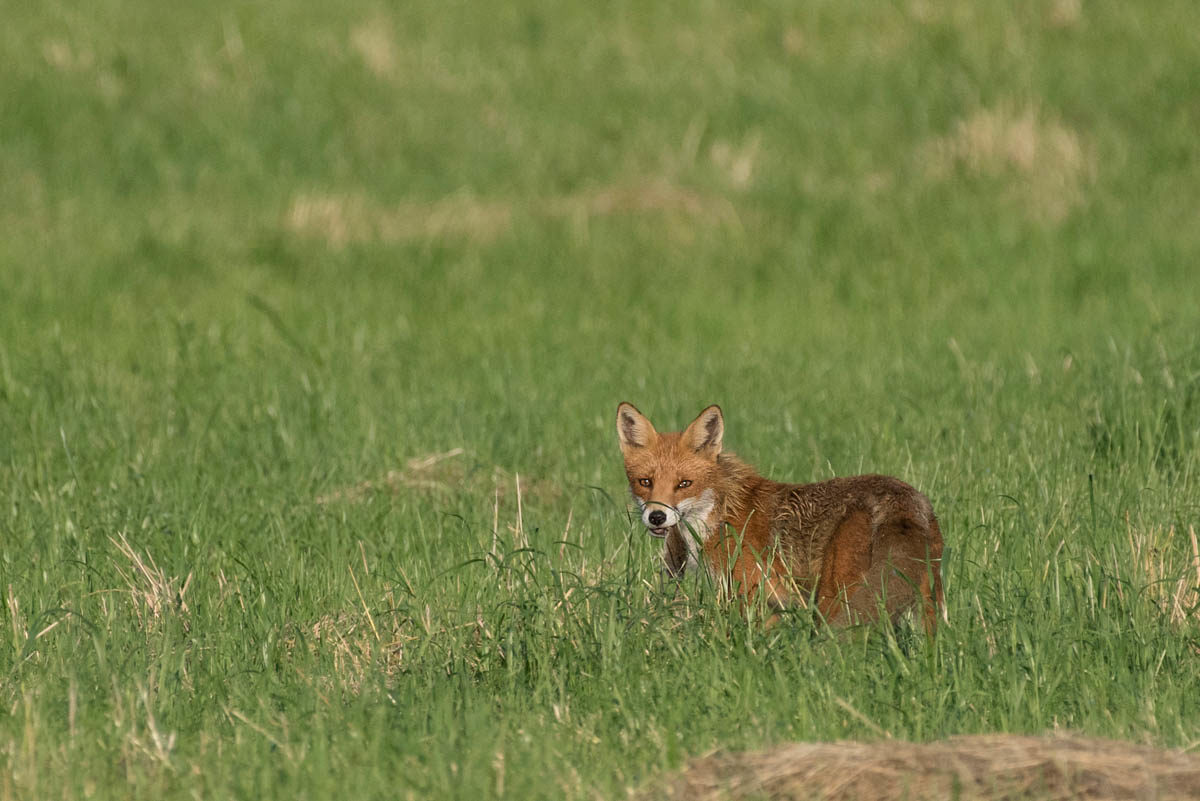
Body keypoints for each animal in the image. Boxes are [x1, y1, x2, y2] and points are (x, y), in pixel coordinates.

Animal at [619, 400, 945, 633]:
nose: (657, 517)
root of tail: (903, 496)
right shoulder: (771, 606)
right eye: (645, 482)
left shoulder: (749, 596)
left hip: (836, 600)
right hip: (928, 602)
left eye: (684, 484)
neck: (722, 511)